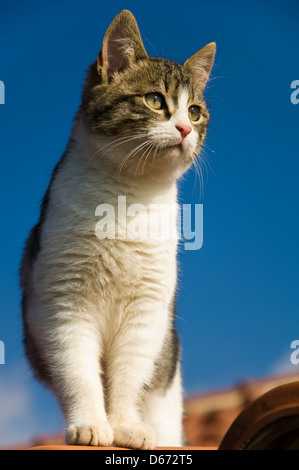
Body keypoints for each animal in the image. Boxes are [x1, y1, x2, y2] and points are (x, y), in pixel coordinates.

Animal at [20, 10, 216, 448]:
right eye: (155, 101)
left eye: (195, 112)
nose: (185, 129)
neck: (127, 197)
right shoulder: (63, 304)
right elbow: (78, 373)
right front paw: (91, 424)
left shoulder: (147, 311)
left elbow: (129, 377)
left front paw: (126, 426)